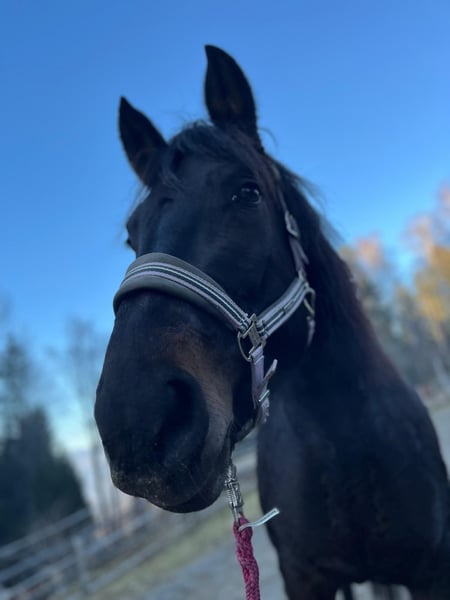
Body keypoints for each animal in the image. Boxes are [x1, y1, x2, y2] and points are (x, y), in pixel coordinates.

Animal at [95, 46, 450, 599]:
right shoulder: (304, 578)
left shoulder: (431, 570)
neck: (347, 455)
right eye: (133, 235)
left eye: (248, 193)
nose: (136, 421)